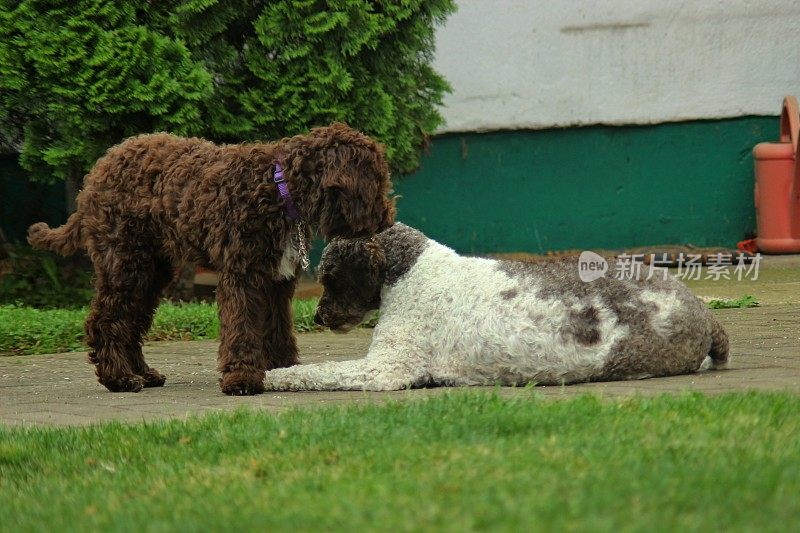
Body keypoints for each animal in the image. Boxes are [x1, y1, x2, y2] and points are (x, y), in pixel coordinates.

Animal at [28, 121, 394, 394]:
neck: (277, 188)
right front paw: (242, 378)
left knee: (130, 322)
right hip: (125, 263)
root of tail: (95, 175)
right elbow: (242, 327)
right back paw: (118, 378)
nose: (387, 220)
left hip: (151, 271)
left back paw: (143, 374)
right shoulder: (242, 275)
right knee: (105, 320)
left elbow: (277, 328)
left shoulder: (276, 282)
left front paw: (284, 369)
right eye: (373, 181)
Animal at [266, 221, 728, 390]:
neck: (411, 270)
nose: (320, 316)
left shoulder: (386, 368)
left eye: (330, 276)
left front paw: (270, 377)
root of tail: (705, 315)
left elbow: (314, 372)